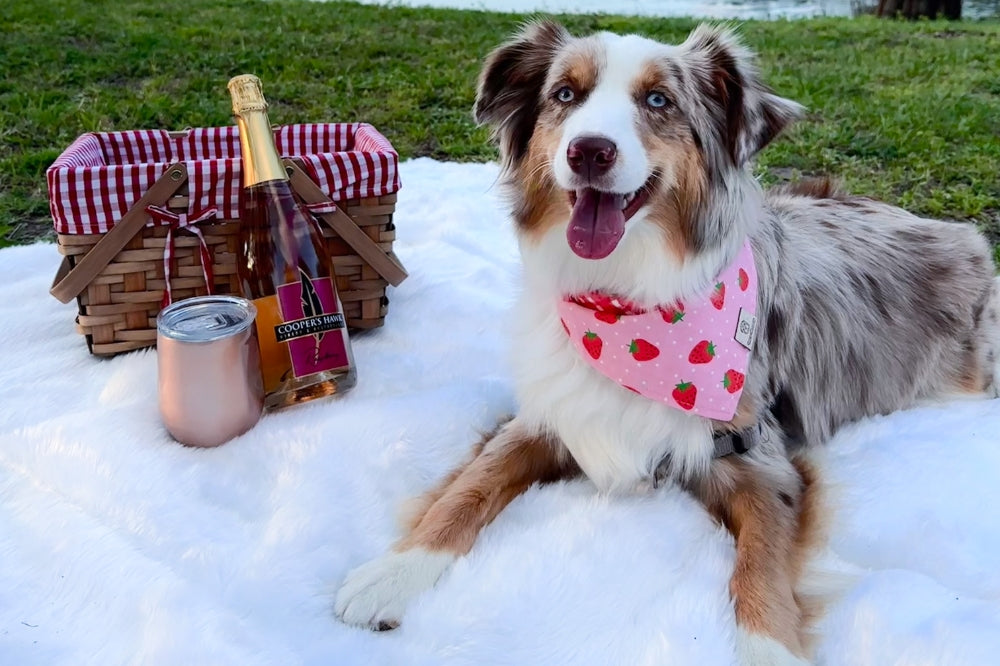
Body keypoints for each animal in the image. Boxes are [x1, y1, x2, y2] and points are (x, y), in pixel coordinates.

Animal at [334, 20, 1000, 664]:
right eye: (565, 95)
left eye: (659, 101)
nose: (589, 150)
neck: (629, 301)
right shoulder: (551, 413)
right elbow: (470, 486)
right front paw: (392, 573)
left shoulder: (760, 458)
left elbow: (760, 565)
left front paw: (768, 650)